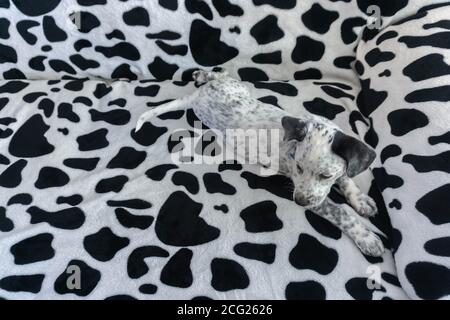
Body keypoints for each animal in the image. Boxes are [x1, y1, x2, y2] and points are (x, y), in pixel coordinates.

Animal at [136, 70, 384, 258]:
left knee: (218, 74)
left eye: (325, 175)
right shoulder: (312, 195)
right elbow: (340, 212)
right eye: (299, 168)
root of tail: (197, 96)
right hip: (238, 87)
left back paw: (200, 75)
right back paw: (202, 74)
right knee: (223, 74)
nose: (299, 202)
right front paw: (366, 237)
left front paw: (360, 199)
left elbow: (346, 176)